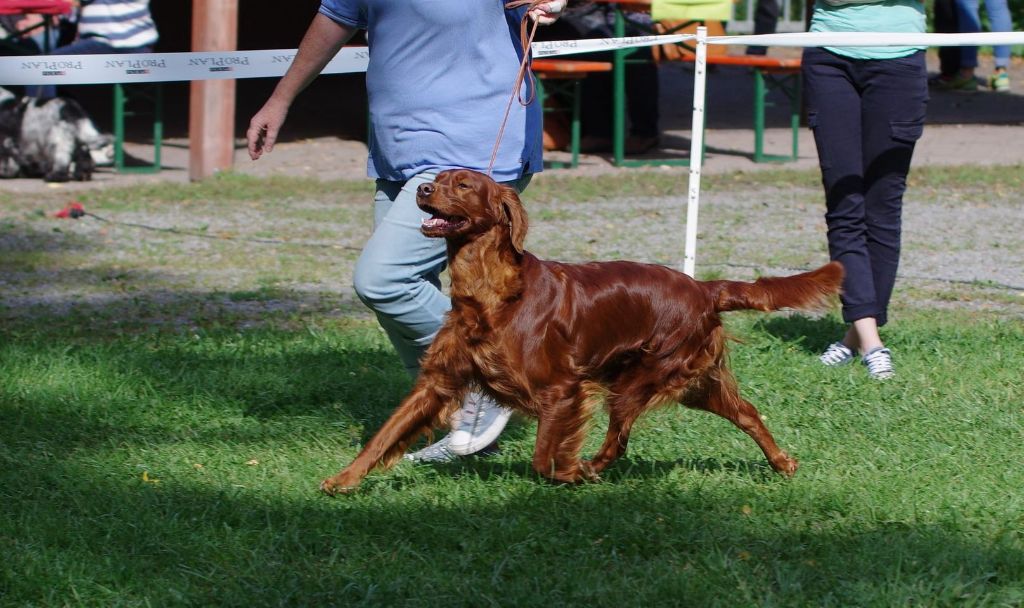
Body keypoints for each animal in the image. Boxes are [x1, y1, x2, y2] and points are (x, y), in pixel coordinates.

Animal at [317, 166, 839, 491]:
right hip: (691, 380)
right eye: (437, 180)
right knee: (748, 413)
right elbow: (385, 434)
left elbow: (544, 455)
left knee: (620, 439)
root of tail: (703, 288)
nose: (422, 190)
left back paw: (593, 468)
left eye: (462, 185)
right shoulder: (437, 381)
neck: (490, 293)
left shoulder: (564, 389)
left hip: (640, 379)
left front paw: (568, 473)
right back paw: (782, 462)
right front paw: (343, 480)